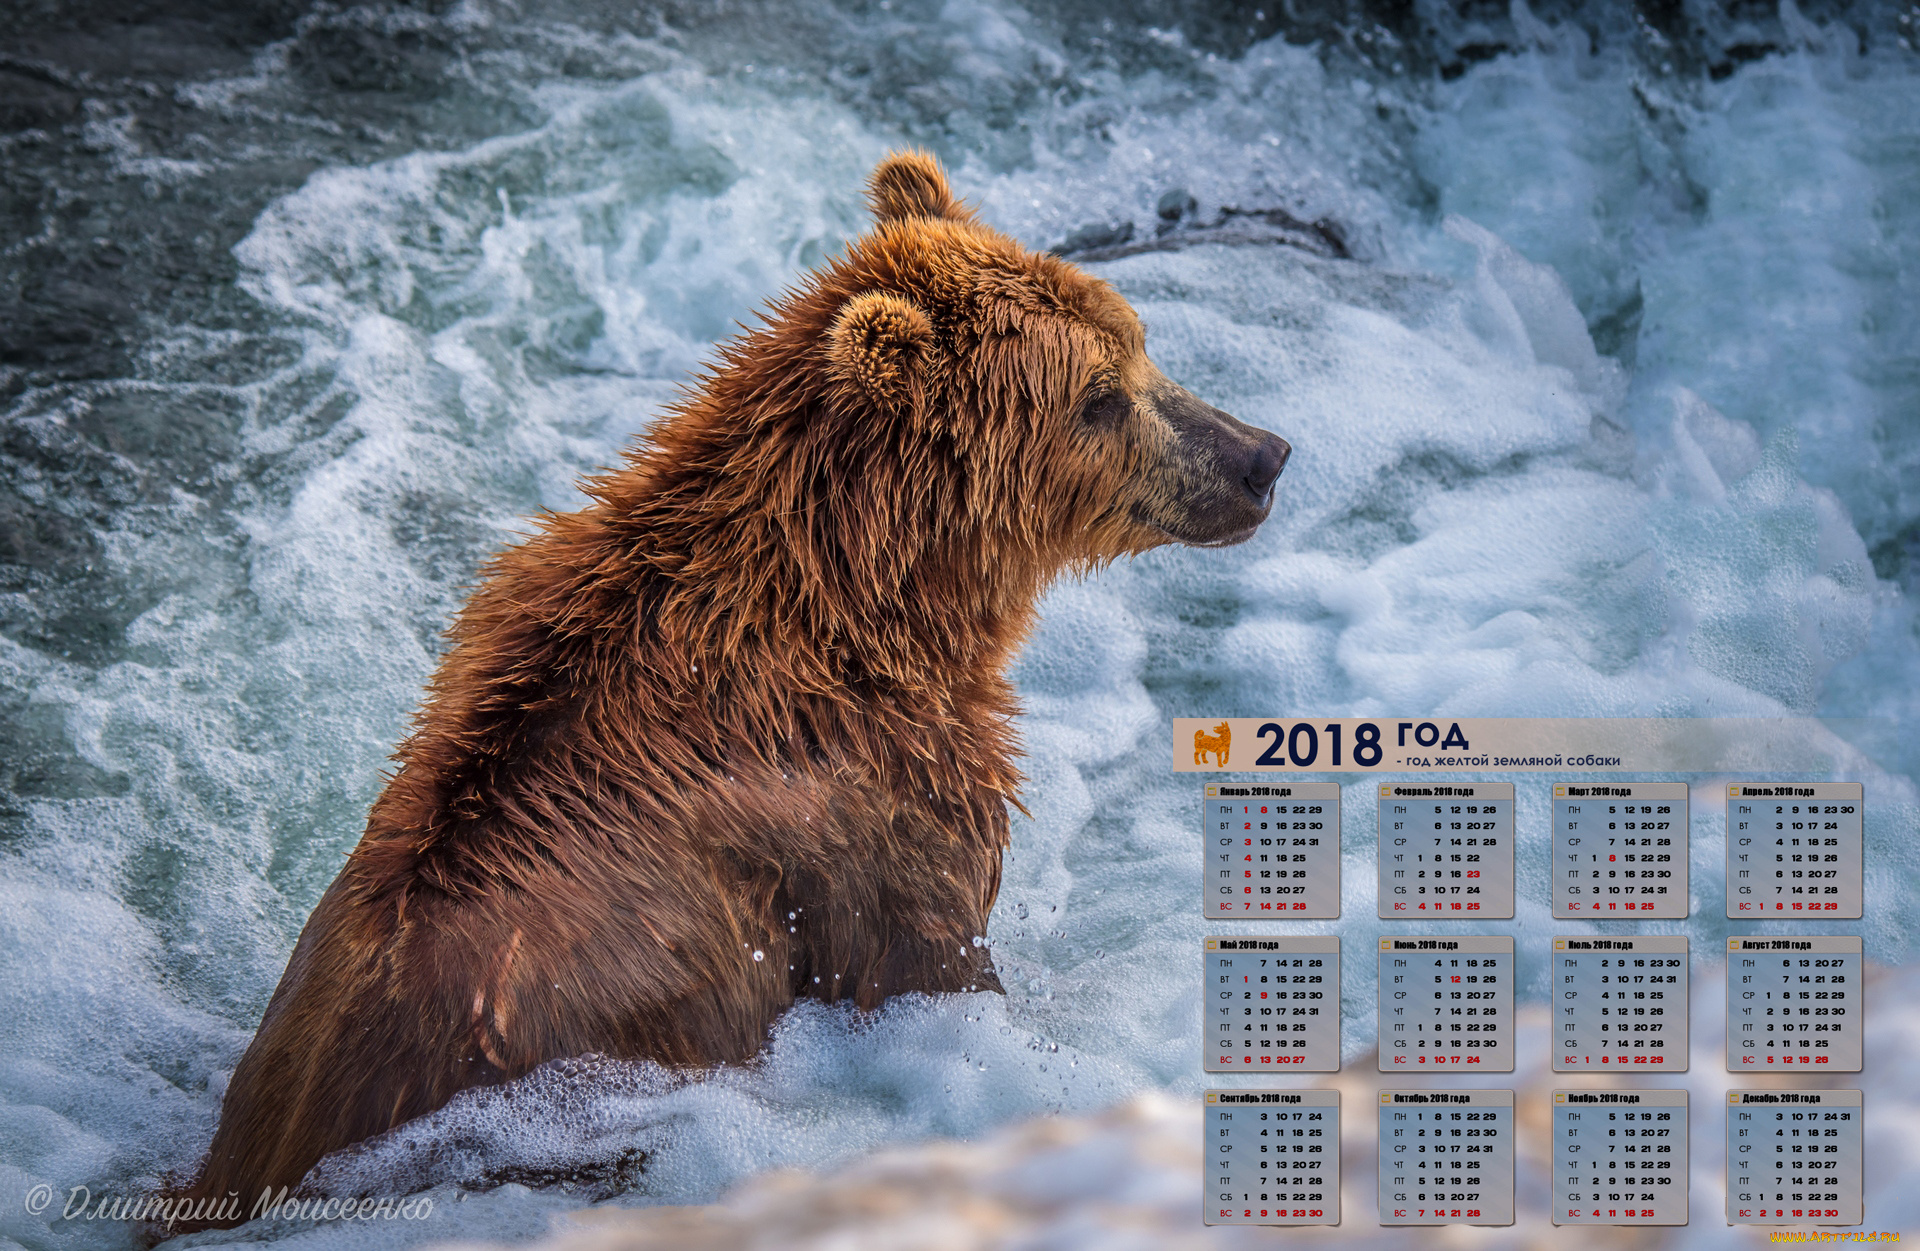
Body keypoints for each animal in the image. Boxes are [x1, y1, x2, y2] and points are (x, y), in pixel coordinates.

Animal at [175, 150, 1289, 1226]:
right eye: (1097, 394)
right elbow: (937, 964)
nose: (1262, 456)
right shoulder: (871, 817)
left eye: (1137, 342)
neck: (867, 606)